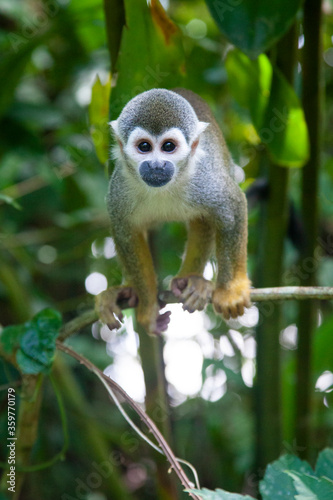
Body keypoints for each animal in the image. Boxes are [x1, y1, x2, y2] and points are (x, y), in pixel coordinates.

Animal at [94, 88, 250, 334]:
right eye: (144, 147)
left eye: (168, 147)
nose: (156, 166)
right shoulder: (119, 190)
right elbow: (125, 232)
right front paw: (147, 308)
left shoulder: (205, 179)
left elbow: (232, 206)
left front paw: (230, 291)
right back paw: (125, 291)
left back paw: (191, 281)